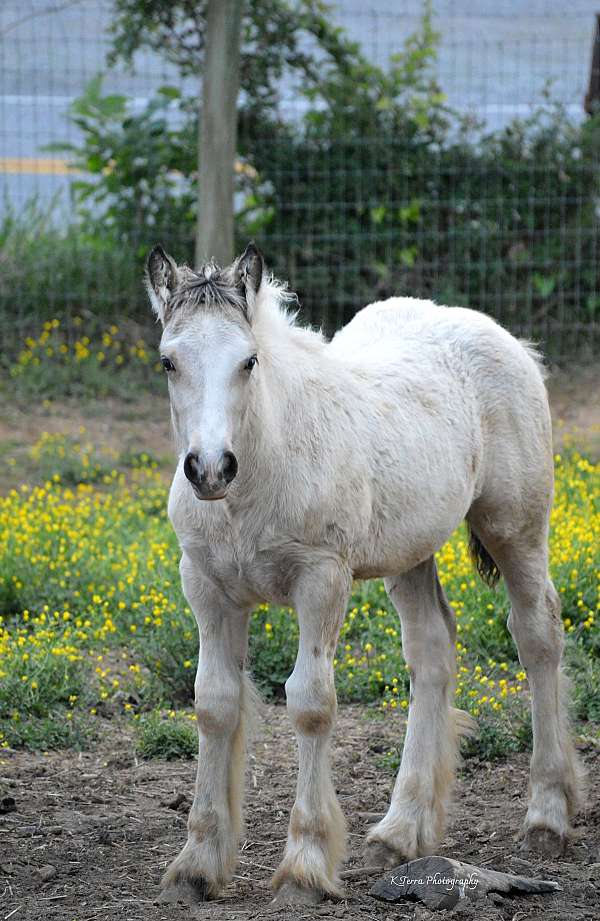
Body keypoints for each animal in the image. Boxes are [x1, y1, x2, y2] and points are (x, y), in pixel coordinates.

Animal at [145, 242, 584, 906]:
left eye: (248, 361)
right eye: (169, 361)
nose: (211, 467)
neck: (259, 475)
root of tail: (501, 336)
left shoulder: (322, 579)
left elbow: (310, 703)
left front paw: (304, 867)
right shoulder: (206, 586)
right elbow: (214, 703)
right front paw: (196, 865)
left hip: (515, 526)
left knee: (538, 636)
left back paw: (547, 818)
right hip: (411, 553)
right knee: (432, 651)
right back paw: (399, 834)